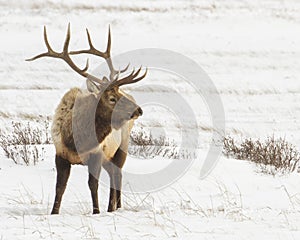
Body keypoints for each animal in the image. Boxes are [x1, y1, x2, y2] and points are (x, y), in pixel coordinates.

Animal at [27, 24, 146, 215]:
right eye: (112, 98)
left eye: (117, 94)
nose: (138, 109)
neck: (76, 140)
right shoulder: (60, 154)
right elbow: (60, 187)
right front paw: (54, 212)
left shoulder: (97, 153)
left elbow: (93, 185)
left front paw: (96, 212)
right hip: (109, 156)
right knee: (114, 174)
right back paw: (113, 207)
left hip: (122, 147)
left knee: (117, 175)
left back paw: (115, 207)